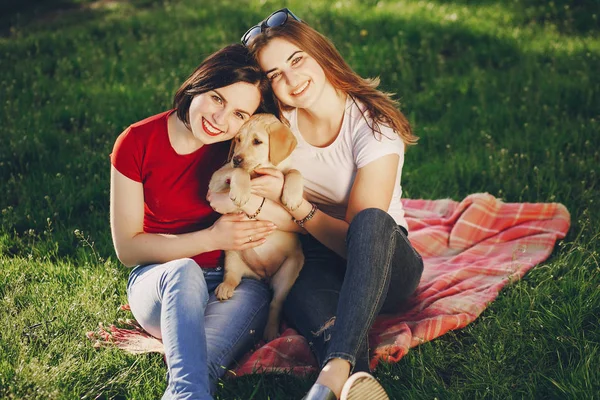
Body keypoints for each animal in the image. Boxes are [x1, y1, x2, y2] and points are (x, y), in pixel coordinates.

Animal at [210, 112, 304, 340]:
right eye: (238, 140)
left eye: (257, 142)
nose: (236, 159)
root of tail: (263, 276)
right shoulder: (218, 177)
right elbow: (239, 173)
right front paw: (242, 191)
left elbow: (295, 172)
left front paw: (292, 196)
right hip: (232, 257)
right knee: (232, 277)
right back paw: (225, 288)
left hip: (288, 273)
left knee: (276, 304)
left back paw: (270, 332)